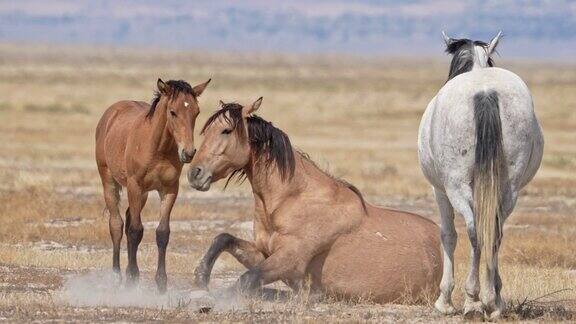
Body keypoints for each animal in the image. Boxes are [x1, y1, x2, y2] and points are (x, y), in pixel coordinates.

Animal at [94, 77, 212, 292]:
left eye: (196, 112)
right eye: (172, 112)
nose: (188, 153)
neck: (158, 149)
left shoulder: (169, 190)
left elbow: (162, 232)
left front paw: (161, 282)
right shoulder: (134, 185)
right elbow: (135, 230)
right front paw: (132, 278)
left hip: (143, 195)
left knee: (128, 219)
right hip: (110, 182)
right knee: (117, 225)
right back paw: (117, 276)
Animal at [187, 99, 444, 304]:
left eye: (226, 130)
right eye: (205, 132)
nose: (194, 173)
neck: (293, 200)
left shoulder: (290, 259)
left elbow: (245, 281)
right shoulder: (265, 254)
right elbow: (223, 238)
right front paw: (200, 278)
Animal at [416, 31, 544, 320]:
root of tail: (485, 91)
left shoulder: (439, 191)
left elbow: (448, 235)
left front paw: (445, 300)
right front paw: (495, 294)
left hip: (456, 186)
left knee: (474, 231)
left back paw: (474, 298)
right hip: (510, 188)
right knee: (494, 232)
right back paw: (492, 301)